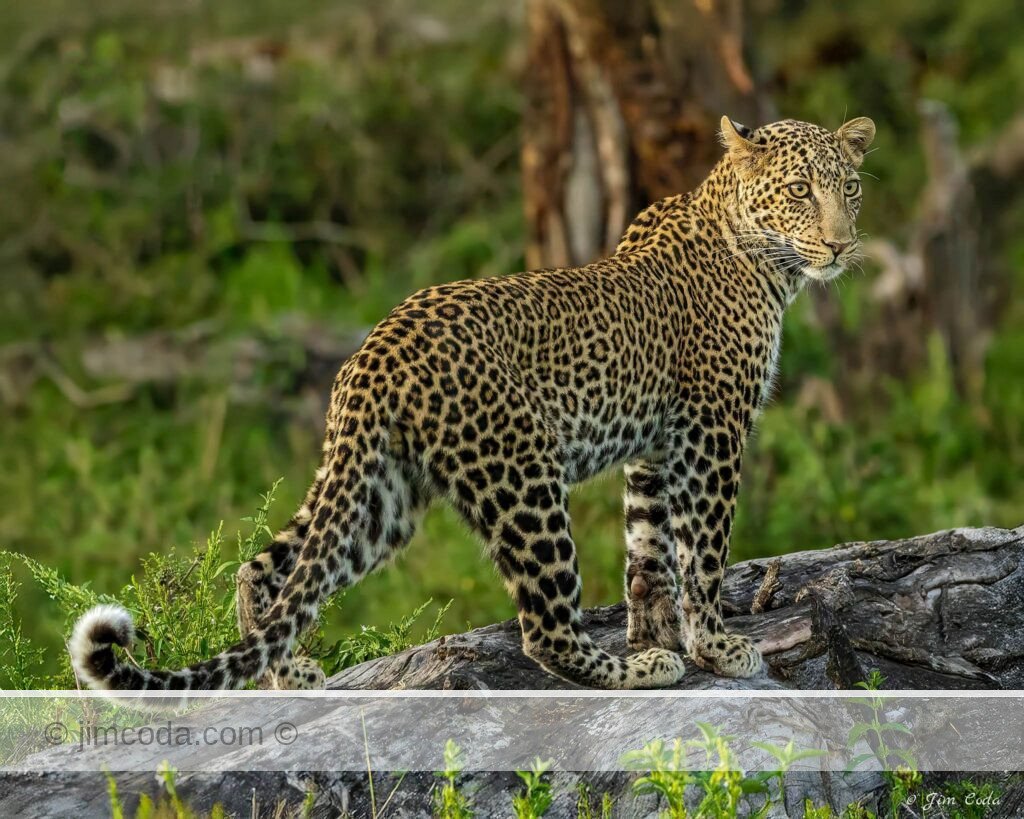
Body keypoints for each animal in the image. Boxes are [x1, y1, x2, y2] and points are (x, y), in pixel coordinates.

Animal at [71, 115, 875, 691]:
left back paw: (287, 670)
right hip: (521, 477)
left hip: (382, 496)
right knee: (544, 627)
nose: (842, 246)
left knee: (270, 566)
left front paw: (659, 637)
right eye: (799, 191)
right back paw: (628, 673)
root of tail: (375, 349)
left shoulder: (654, 448)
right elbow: (702, 550)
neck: (765, 263)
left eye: (850, 190)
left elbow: (648, 556)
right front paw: (711, 647)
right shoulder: (711, 431)